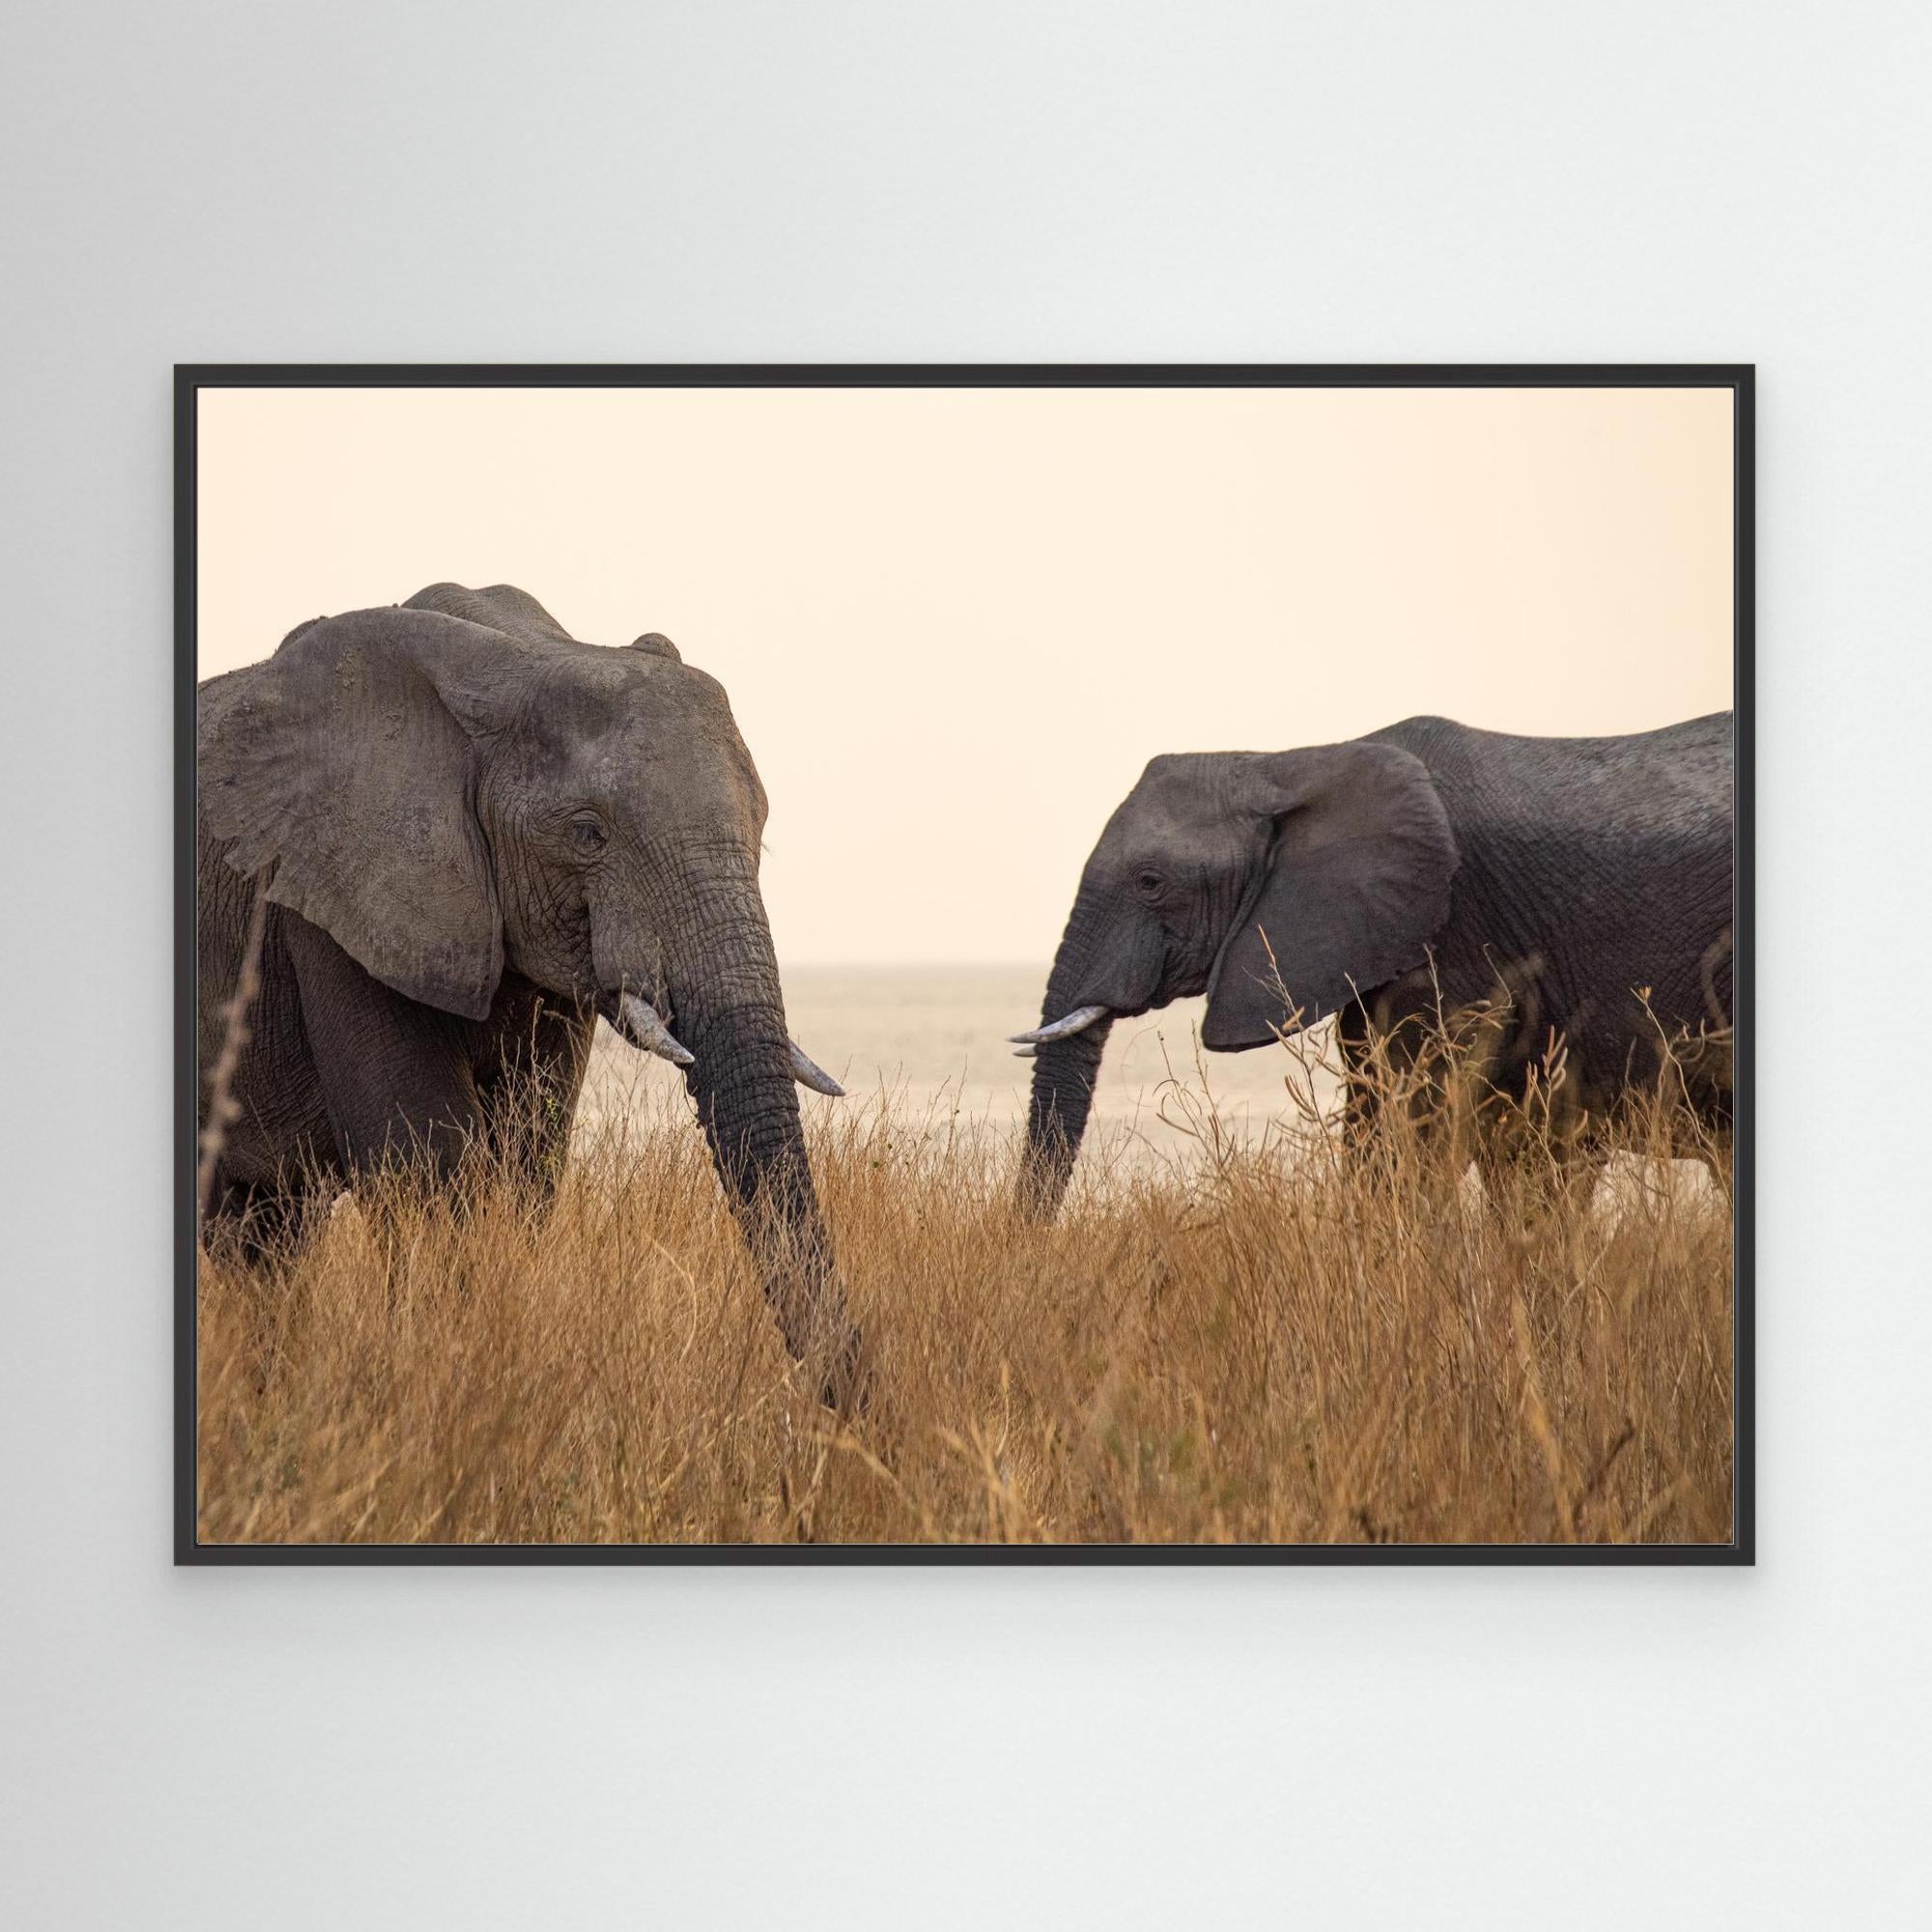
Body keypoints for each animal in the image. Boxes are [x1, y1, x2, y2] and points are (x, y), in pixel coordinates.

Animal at [197, 581, 857, 1388]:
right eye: (587, 832)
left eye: (760, 827)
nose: (861, 1410)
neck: (511, 662)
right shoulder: (327, 903)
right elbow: (428, 1161)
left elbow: (530, 1153)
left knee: (264, 1241)